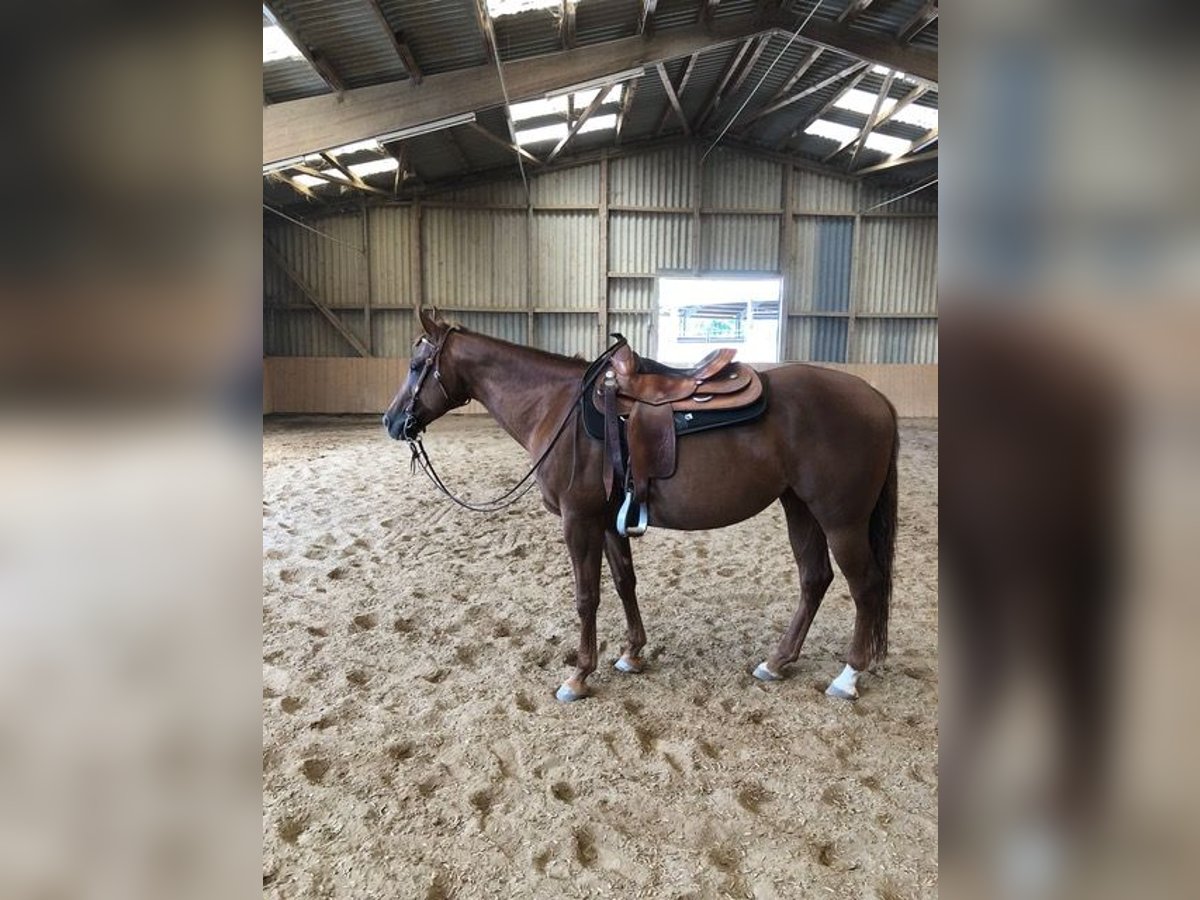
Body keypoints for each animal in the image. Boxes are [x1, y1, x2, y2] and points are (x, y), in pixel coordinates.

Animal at [384, 309, 902, 705]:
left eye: (416, 364)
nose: (391, 421)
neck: (558, 408)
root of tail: (876, 397)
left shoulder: (578, 520)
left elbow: (587, 596)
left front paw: (578, 676)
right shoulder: (606, 520)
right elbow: (623, 582)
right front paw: (632, 654)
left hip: (842, 519)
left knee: (865, 585)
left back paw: (847, 676)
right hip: (800, 509)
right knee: (815, 579)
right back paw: (777, 662)